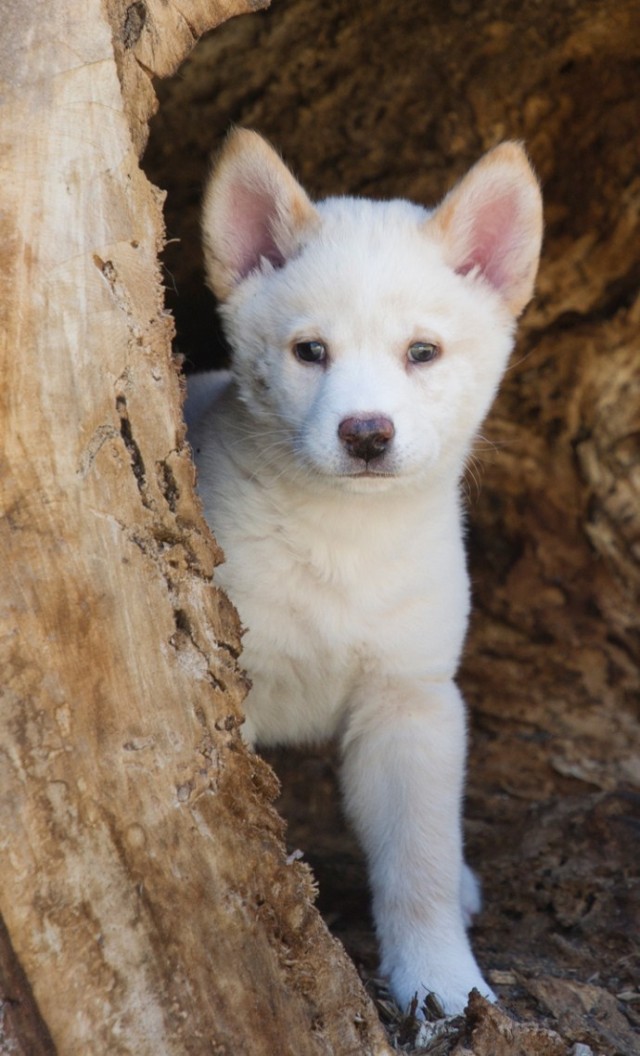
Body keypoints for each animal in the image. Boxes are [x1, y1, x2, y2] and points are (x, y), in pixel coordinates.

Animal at [187, 129, 544, 1013]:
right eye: (310, 352)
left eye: (423, 352)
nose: (367, 433)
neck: (343, 537)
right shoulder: (232, 690)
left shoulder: (410, 702)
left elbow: (418, 865)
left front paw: (444, 985)